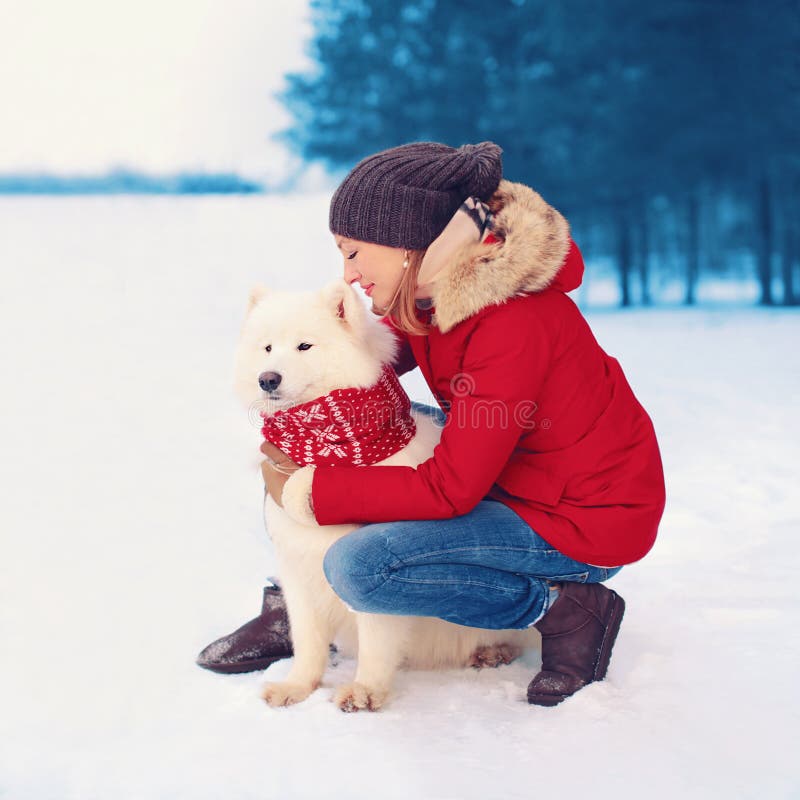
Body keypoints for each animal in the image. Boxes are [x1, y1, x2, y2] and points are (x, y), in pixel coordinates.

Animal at [234, 278, 540, 708]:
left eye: (304, 346)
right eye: (266, 347)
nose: (268, 379)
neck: (328, 453)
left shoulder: (360, 583)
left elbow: (376, 641)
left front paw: (365, 691)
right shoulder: (299, 572)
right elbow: (307, 642)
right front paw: (297, 686)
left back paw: (495, 650)